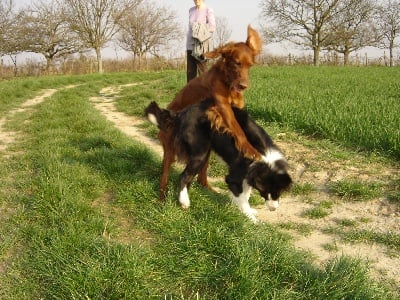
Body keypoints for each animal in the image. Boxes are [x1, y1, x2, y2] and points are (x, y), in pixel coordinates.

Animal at [144, 98, 290, 223]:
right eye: (265, 191)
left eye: (279, 192)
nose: (273, 209)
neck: (265, 159)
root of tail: (181, 113)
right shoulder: (235, 175)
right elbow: (242, 197)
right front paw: (251, 218)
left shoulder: (249, 175)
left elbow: (246, 192)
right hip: (200, 153)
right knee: (183, 176)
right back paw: (184, 201)